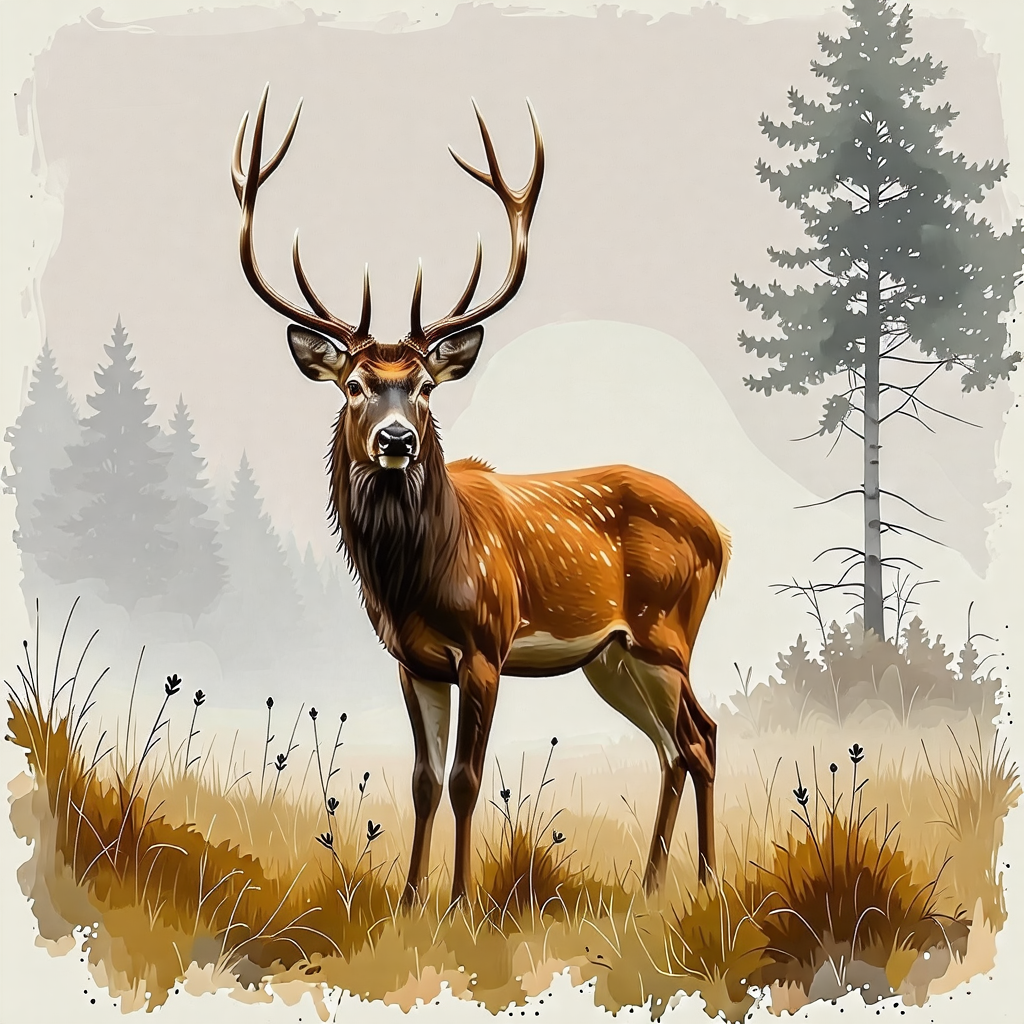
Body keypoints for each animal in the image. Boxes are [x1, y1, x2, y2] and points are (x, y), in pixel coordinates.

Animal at [232, 85, 730, 907]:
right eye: (355, 384)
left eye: (425, 386)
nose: (397, 440)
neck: (415, 577)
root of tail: (721, 531)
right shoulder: (413, 660)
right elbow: (424, 780)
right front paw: (410, 899)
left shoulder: (487, 646)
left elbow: (467, 778)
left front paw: (463, 902)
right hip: (612, 657)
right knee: (676, 744)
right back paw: (656, 885)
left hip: (666, 633)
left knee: (699, 737)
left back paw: (706, 882)